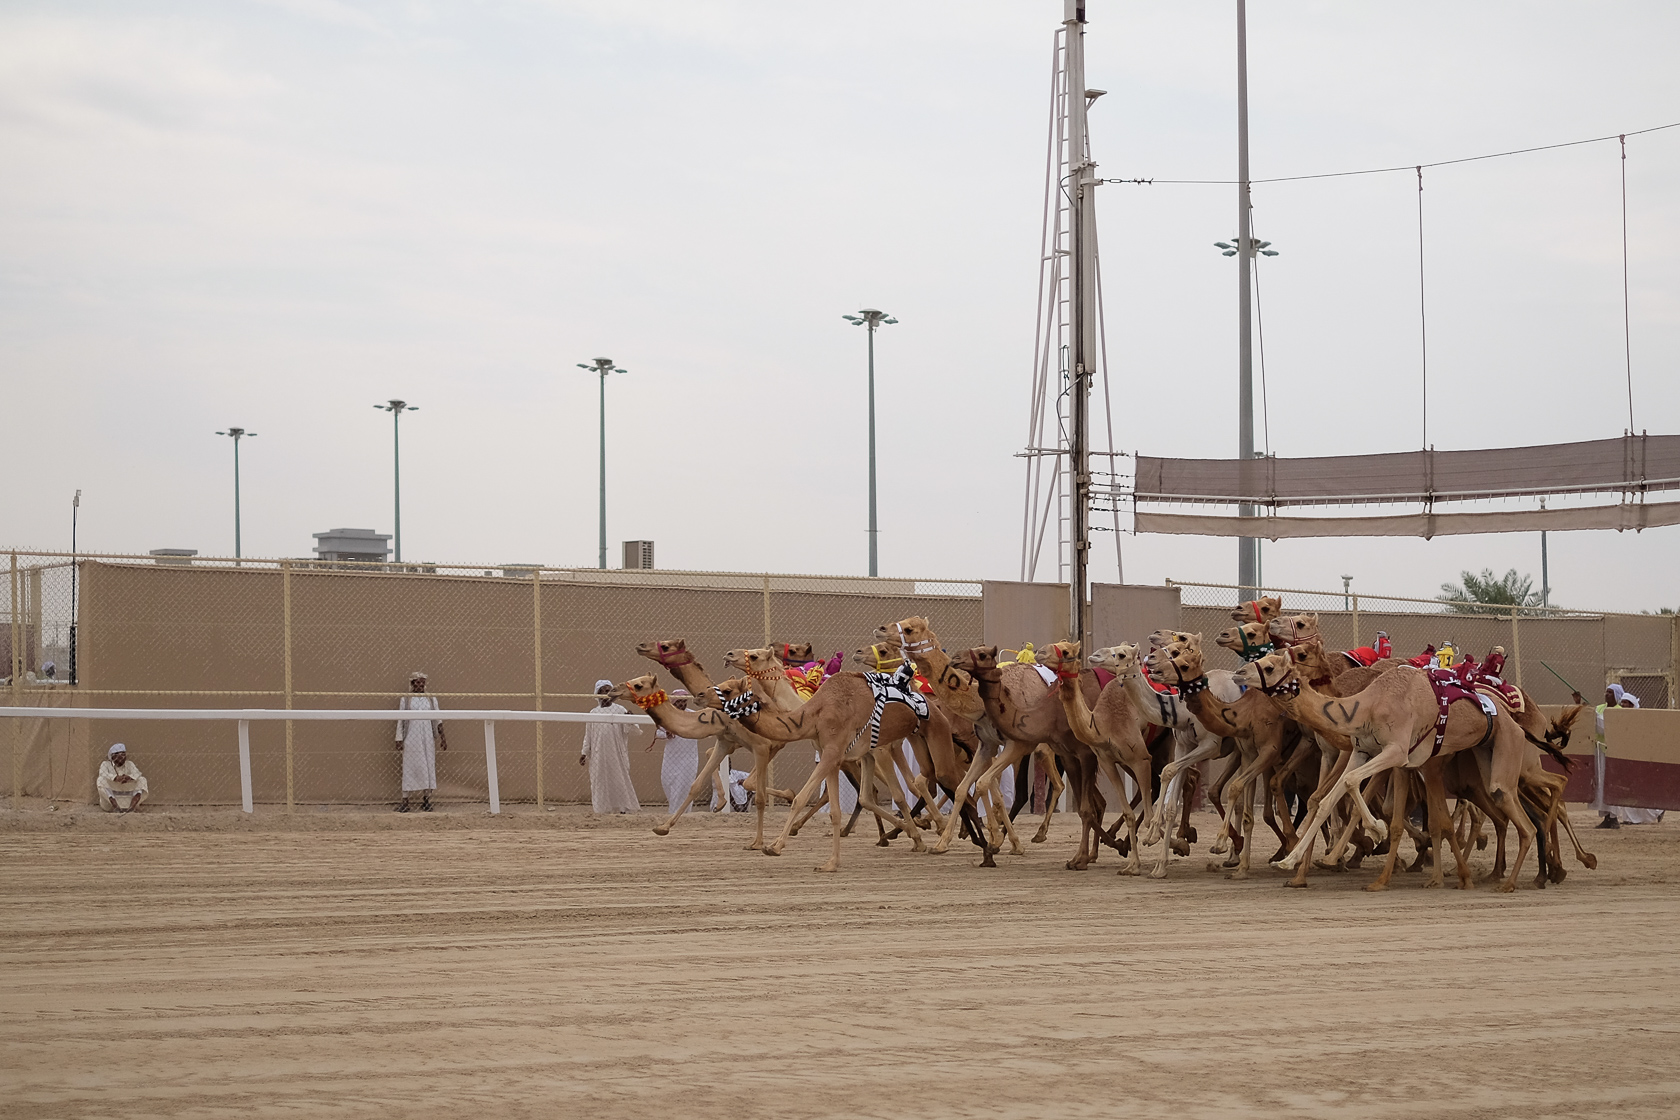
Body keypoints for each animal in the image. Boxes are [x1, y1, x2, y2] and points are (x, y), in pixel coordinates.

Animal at [1237, 648, 1539, 892]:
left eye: (1269, 667)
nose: (1239, 673)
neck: (1367, 705)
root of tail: (1511, 714)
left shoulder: (1395, 750)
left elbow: (1351, 782)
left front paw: (1375, 831)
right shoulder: (1361, 751)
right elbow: (1327, 799)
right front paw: (1288, 861)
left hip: (1508, 742)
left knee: (1515, 809)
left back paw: (1508, 882)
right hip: (1480, 753)